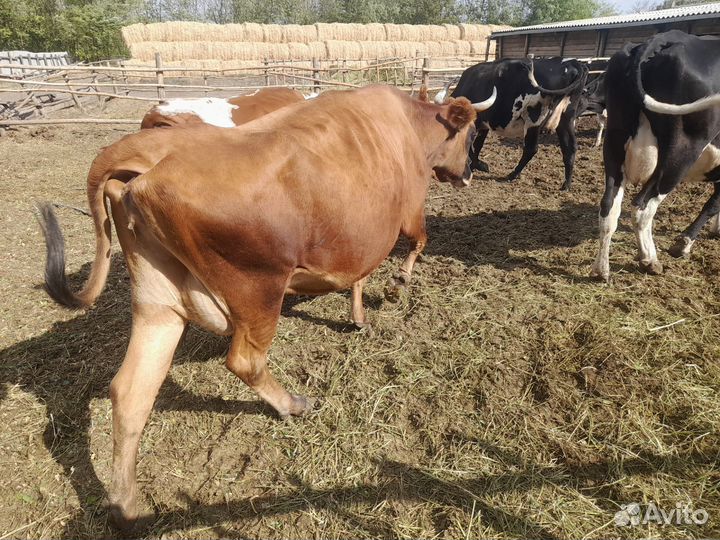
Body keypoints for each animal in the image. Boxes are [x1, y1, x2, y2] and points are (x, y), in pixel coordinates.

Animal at [447, 57, 588, 190]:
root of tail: (572, 62)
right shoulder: (483, 125)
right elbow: (477, 145)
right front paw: (475, 165)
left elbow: (471, 145)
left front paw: (477, 165)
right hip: (566, 120)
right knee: (569, 148)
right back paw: (566, 185)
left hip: (534, 119)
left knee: (531, 149)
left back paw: (512, 174)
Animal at [590, 30, 720, 281]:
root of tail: (664, 38)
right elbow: (712, 205)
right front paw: (683, 244)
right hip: (680, 154)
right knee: (642, 208)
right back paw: (649, 260)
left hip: (615, 142)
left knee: (609, 206)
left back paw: (601, 269)